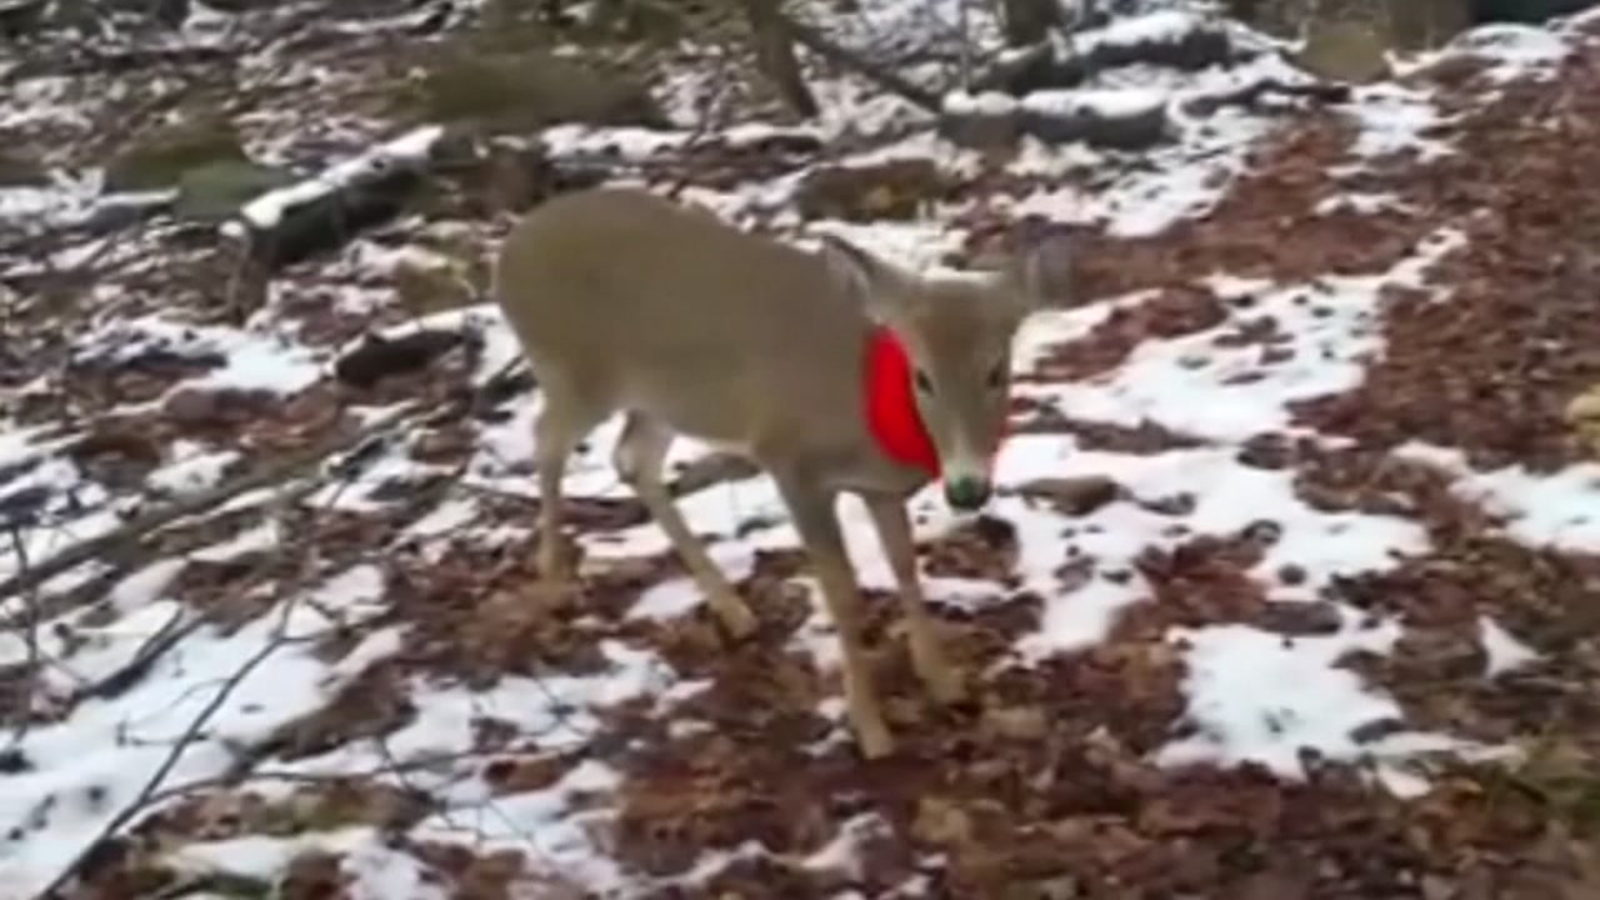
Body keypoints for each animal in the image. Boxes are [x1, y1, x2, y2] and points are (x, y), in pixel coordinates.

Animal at [490, 186, 1072, 758]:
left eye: (997, 371)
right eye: (922, 377)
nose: (969, 489)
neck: (869, 408)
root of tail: (509, 250)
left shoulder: (879, 488)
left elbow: (905, 566)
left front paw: (945, 682)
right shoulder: (792, 462)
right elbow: (842, 596)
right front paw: (871, 730)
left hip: (664, 400)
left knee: (633, 459)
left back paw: (733, 609)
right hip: (573, 372)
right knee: (546, 441)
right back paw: (553, 579)